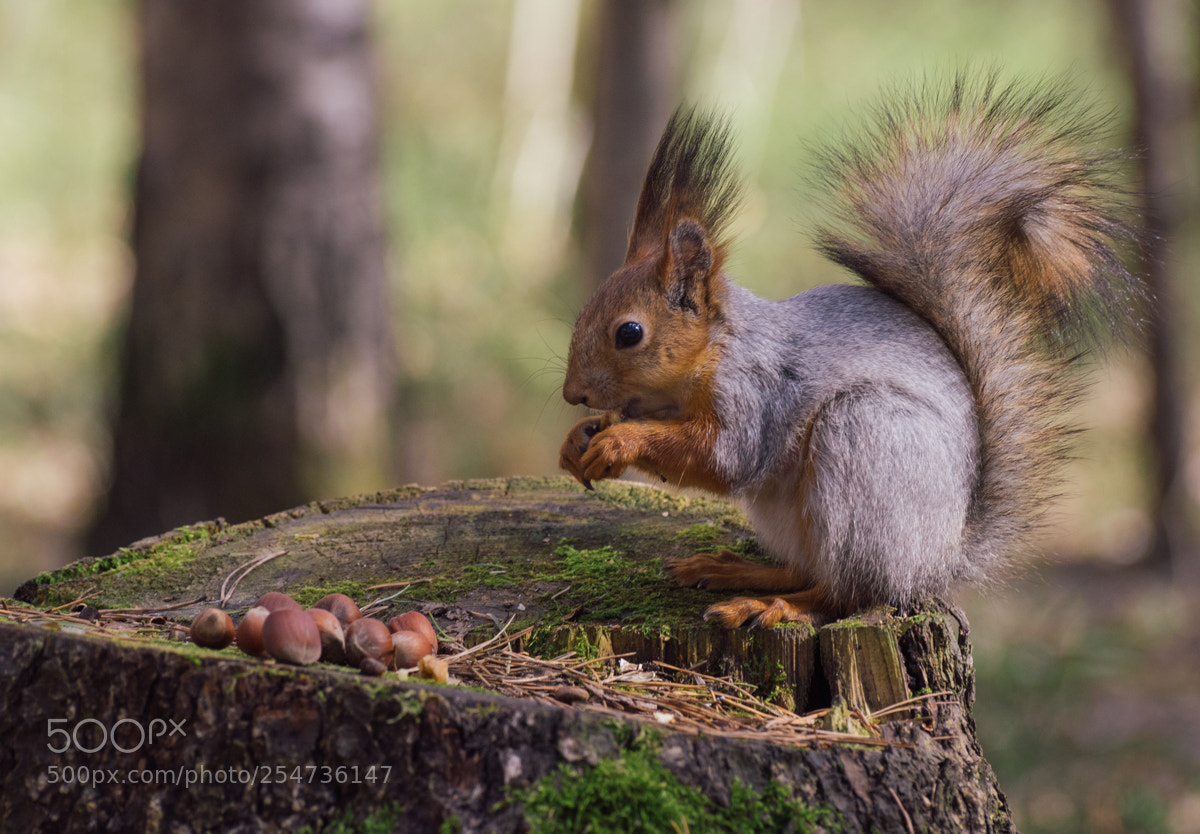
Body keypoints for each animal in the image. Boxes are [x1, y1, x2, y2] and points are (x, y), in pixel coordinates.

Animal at [556, 75, 1137, 628]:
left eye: (629, 333)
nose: (571, 394)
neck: (708, 355)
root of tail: (940, 559)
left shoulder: (752, 393)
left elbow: (723, 458)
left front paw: (619, 441)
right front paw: (578, 439)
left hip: (863, 444)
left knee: (846, 592)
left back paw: (774, 607)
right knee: (805, 569)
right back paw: (735, 571)